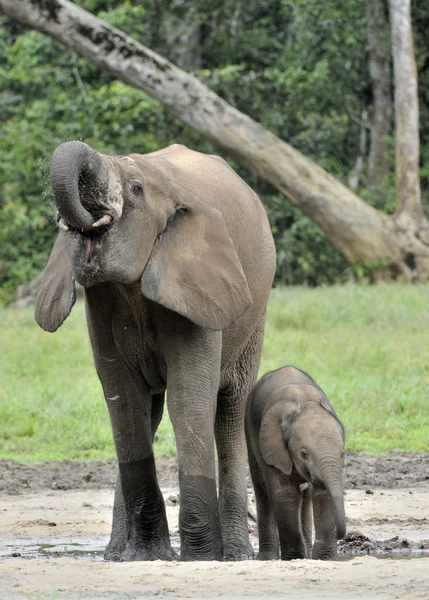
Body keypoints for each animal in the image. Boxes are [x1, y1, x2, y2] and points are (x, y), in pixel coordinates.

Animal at [34, 142, 274, 564]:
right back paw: (116, 554)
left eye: (135, 189)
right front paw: (147, 556)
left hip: (252, 316)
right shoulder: (101, 304)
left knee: (231, 410)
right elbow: (124, 400)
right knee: (149, 412)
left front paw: (199, 558)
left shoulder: (199, 283)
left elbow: (188, 398)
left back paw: (237, 555)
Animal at [244, 366, 344, 564]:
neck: (304, 402)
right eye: (304, 454)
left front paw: (325, 559)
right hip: (249, 429)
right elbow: (286, 494)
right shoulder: (273, 446)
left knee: (306, 495)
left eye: (342, 454)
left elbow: (323, 494)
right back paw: (268, 558)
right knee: (262, 490)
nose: (341, 535)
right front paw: (294, 558)